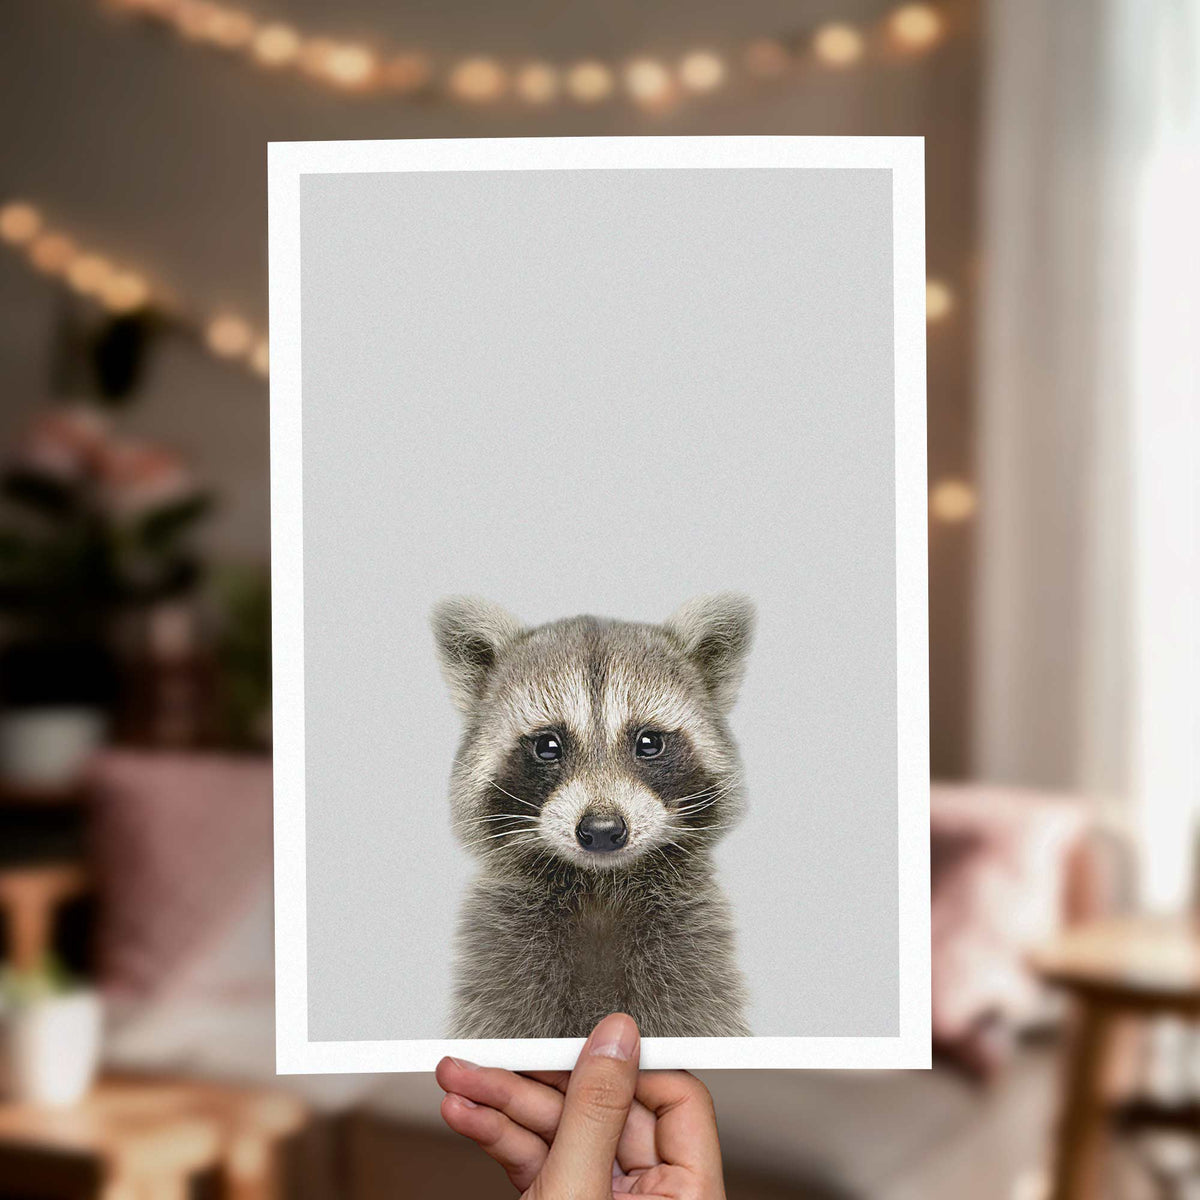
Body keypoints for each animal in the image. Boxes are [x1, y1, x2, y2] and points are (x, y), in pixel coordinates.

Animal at [431, 593, 754, 1039]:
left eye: (649, 742)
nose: (602, 830)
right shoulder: (502, 967)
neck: (600, 888)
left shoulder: (693, 961)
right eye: (547, 746)